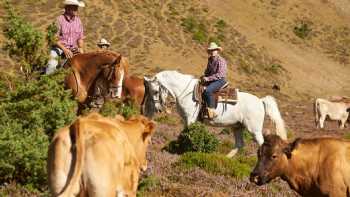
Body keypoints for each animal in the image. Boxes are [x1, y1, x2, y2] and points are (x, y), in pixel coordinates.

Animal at [143, 71, 288, 157]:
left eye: (156, 91)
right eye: (148, 91)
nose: (157, 109)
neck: (186, 92)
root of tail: (260, 101)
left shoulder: (190, 119)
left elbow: (188, 134)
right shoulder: (185, 119)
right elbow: (184, 134)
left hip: (254, 129)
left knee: (261, 143)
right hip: (237, 127)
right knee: (239, 144)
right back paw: (226, 159)